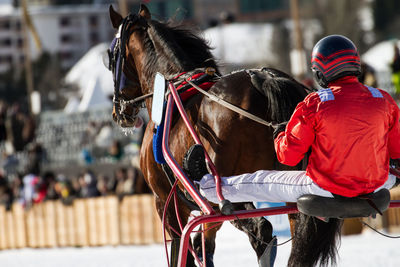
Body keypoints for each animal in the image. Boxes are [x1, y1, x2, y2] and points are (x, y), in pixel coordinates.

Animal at [108, 4, 342, 267]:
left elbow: (186, 248)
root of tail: (262, 80)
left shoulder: (166, 203)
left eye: (111, 56)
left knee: (257, 228)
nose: (119, 113)